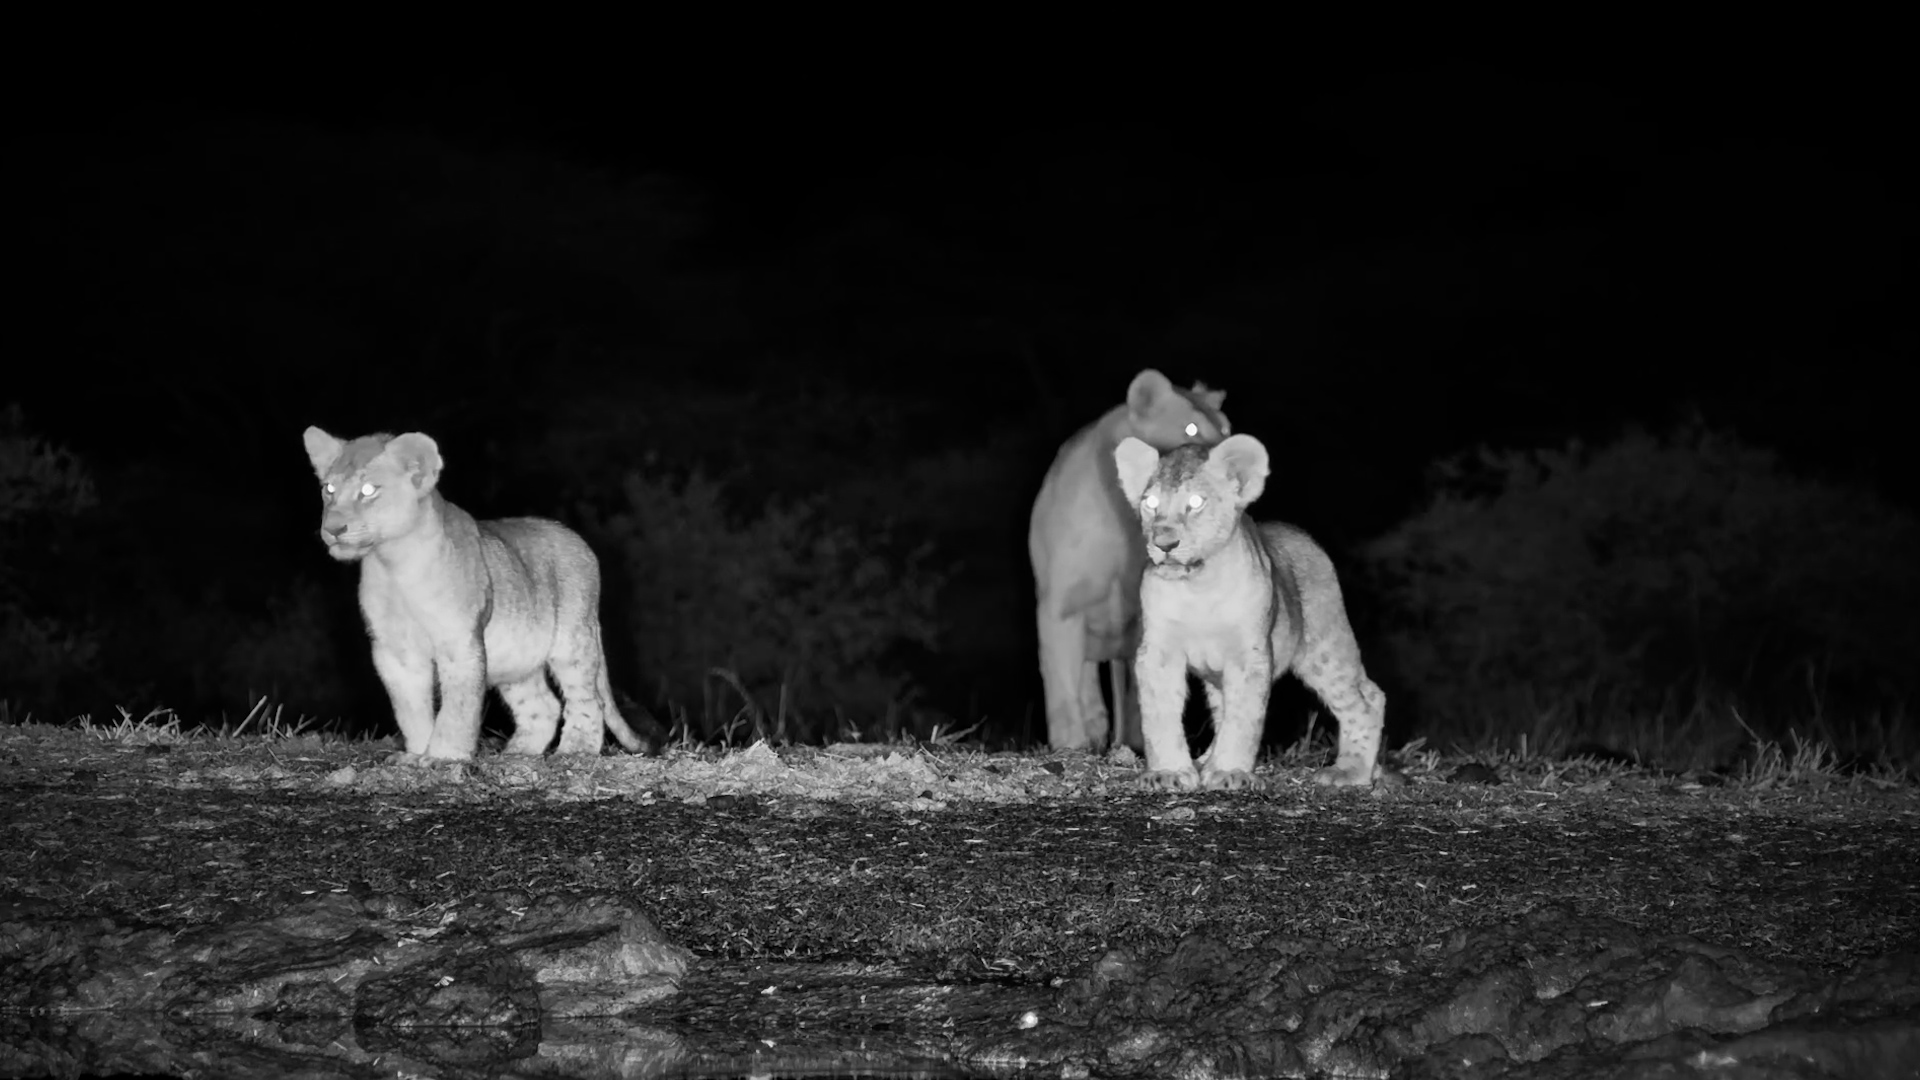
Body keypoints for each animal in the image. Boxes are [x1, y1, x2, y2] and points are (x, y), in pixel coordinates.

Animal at [301, 426, 653, 761]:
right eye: (328, 489)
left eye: (368, 490)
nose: (332, 528)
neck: (393, 563)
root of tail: (578, 540)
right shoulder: (395, 652)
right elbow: (410, 710)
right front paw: (416, 754)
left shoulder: (459, 640)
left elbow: (457, 708)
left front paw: (443, 758)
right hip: (516, 657)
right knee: (543, 705)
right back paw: (517, 753)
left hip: (573, 639)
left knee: (587, 699)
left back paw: (574, 751)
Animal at [1028, 369, 1230, 752]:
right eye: (1191, 428)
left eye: (1227, 429)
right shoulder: (1061, 607)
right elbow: (1061, 680)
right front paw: (1069, 743)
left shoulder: (1142, 613)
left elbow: (1141, 690)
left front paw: (1138, 743)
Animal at [1113, 433, 1388, 789]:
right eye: (1150, 503)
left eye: (1196, 502)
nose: (1164, 543)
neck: (1198, 587)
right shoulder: (1158, 651)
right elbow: (1160, 714)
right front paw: (1169, 773)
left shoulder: (1250, 653)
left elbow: (1244, 716)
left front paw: (1230, 772)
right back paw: (1205, 759)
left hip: (1324, 644)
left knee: (1367, 697)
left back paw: (1350, 771)